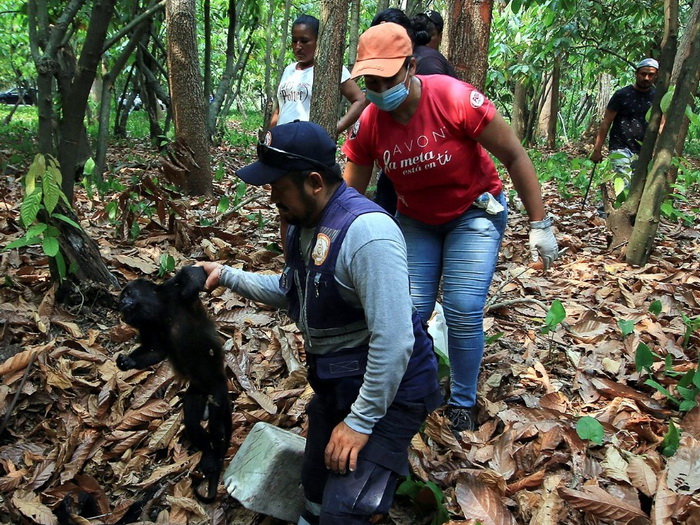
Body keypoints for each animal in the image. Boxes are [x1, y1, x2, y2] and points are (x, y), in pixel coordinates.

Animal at [117, 264, 231, 502]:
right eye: (122, 298)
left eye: (128, 293)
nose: (121, 304)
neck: (159, 311)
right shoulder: (147, 327)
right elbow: (156, 351)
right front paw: (127, 362)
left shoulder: (169, 291)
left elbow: (194, 274)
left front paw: (190, 287)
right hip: (196, 394)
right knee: (193, 423)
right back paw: (208, 455)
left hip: (217, 392)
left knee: (217, 425)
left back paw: (215, 459)